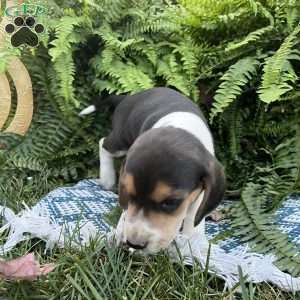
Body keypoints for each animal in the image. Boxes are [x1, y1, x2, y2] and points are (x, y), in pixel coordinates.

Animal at [79, 86, 225, 253]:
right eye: (128, 194)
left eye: (171, 202)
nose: (134, 244)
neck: (180, 128)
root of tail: (128, 97)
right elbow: (127, 212)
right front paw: (120, 230)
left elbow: (194, 215)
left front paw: (193, 241)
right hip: (121, 138)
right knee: (103, 143)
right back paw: (107, 178)